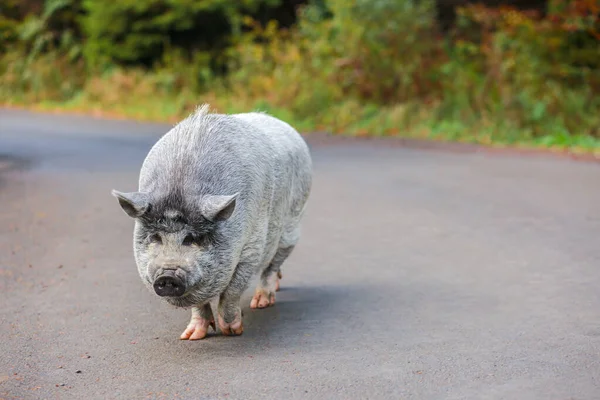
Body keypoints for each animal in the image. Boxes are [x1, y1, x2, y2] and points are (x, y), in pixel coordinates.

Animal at [110, 104, 314, 340]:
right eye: (155, 237)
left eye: (193, 238)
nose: (168, 276)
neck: (180, 188)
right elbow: (199, 303)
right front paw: (190, 337)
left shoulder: (251, 247)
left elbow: (232, 290)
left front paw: (232, 332)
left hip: (293, 222)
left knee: (273, 265)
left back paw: (261, 303)